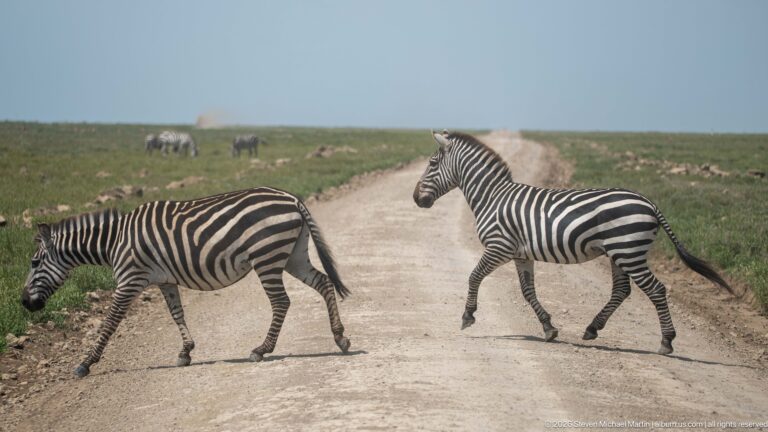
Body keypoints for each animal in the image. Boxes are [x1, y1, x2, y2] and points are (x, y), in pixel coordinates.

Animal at [21, 187, 351, 378]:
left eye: (34, 263)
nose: (24, 303)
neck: (115, 240)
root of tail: (292, 198)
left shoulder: (129, 280)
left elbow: (110, 322)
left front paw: (85, 363)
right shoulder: (164, 280)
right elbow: (176, 313)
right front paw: (186, 352)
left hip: (267, 256)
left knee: (281, 301)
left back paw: (262, 349)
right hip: (293, 255)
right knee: (324, 284)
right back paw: (340, 338)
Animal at [413, 130, 731, 355]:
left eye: (431, 163)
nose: (416, 199)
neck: (493, 197)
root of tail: (650, 203)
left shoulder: (498, 247)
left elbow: (474, 275)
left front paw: (468, 316)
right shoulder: (520, 253)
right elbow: (527, 291)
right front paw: (549, 328)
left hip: (628, 251)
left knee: (655, 289)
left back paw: (666, 341)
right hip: (621, 253)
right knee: (622, 290)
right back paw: (592, 328)